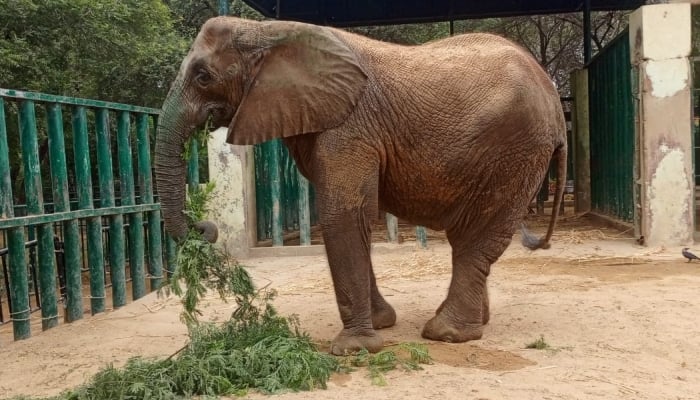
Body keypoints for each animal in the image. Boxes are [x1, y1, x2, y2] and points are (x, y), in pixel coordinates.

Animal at [154, 16, 566, 355]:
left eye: (203, 76)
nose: (206, 228)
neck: (265, 31)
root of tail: (553, 98)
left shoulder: (350, 127)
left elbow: (343, 215)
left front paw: (354, 350)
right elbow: (355, 219)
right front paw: (382, 323)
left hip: (516, 150)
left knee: (475, 238)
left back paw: (446, 334)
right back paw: (473, 322)